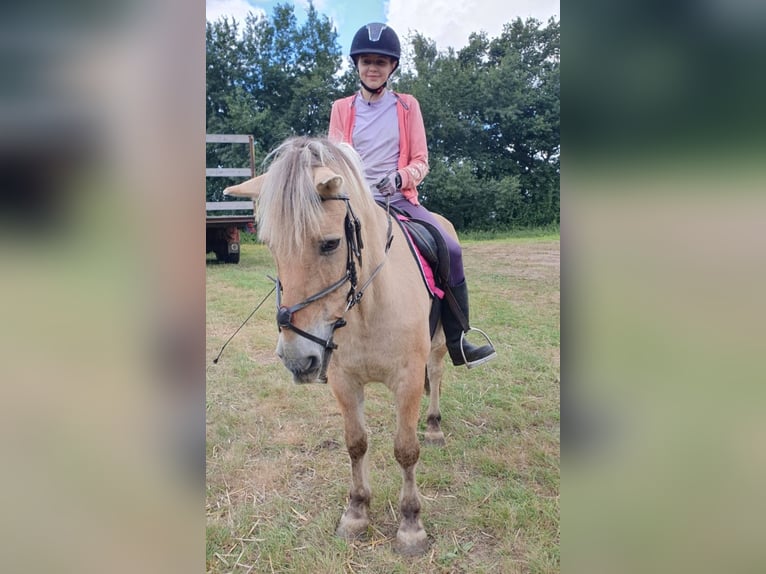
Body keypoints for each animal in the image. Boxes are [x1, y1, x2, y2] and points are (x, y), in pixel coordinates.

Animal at [224, 136, 457, 555]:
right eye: (270, 246)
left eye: (330, 244)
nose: (297, 358)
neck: (367, 307)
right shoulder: (344, 382)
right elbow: (356, 444)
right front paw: (357, 513)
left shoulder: (408, 380)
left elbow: (405, 449)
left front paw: (411, 525)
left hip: (438, 344)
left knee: (436, 373)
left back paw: (433, 427)